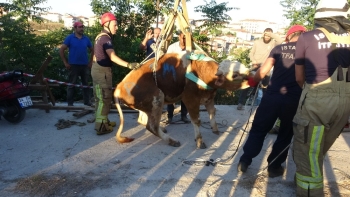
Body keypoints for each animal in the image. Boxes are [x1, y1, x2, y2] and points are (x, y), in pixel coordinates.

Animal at [114, 53, 249, 149]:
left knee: (143, 120)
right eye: (235, 75)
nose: (250, 73)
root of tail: (119, 87)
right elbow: (196, 120)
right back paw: (171, 141)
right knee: (151, 126)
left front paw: (215, 129)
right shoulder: (190, 99)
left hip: (147, 105)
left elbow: (212, 112)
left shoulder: (209, 97)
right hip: (157, 99)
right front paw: (199, 141)